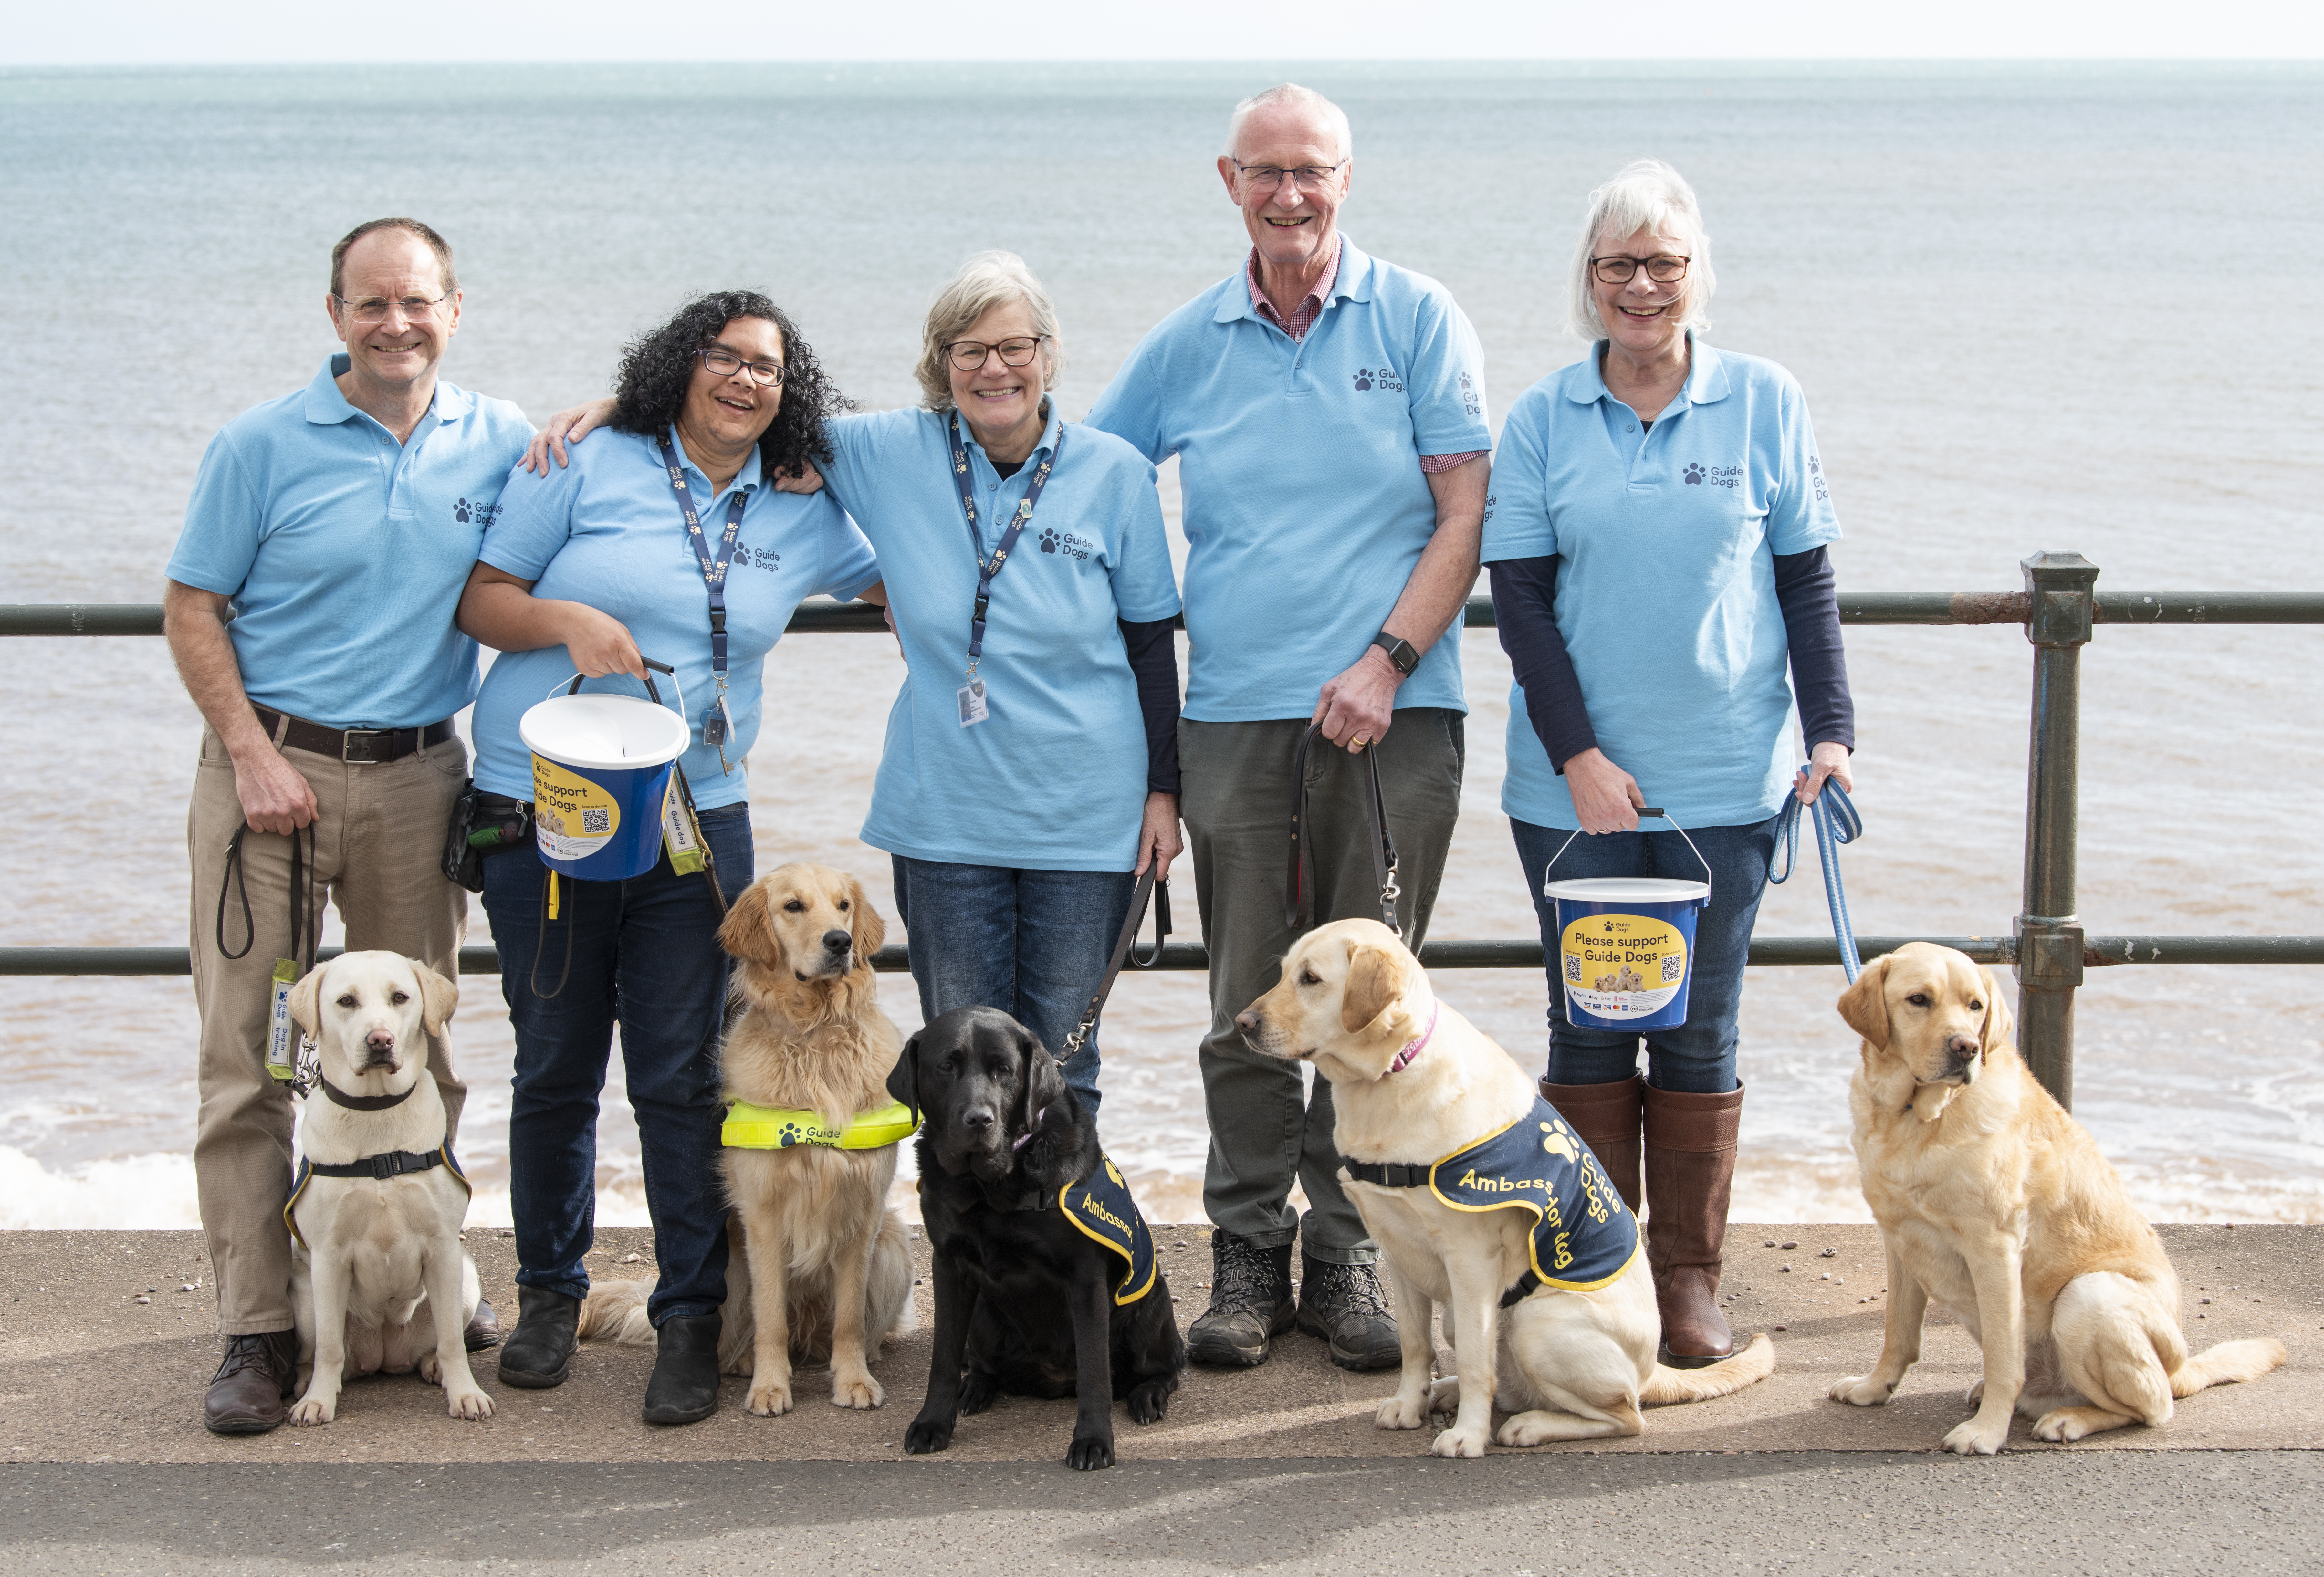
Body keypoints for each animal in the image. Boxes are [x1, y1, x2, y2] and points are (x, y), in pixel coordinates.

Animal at [287, 952, 495, 1431]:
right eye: (346, 1001)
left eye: (400, 997)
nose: (380, 1040)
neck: (375, 1113)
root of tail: (383, 1353)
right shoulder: (327, 1257)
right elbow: (329, 1346)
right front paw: (318, 1400)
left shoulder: (442, 1247)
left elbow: (453, 1343)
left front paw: (465, 1393)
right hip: (305, 1298)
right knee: (325, 1351)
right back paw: (306, 1381)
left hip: (465, 1281)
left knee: (438, 1342)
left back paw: (435, 1367)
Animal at [576, 869, 911, 1412]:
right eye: (793, 906)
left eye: (843, 906)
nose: (839, 942)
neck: (813, 1032)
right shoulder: (763, 1216)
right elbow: (770, 1315)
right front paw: (771, 1386)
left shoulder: (862, 1211)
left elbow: (849, 1317)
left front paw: (853, 1379)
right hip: (730, 1264)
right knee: (746, 1332)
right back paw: (744, 1361)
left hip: (894, 1247)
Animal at [883, 1003, 1180, 1477]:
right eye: (947, 1066)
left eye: (1004, 1070)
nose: (979, 1120)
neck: (990, 1185)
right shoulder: (948, 1265)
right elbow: (943, 1358)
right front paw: (932, 1423)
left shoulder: (1085, 1279)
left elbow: (1095, 1373)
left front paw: (1093, 1440)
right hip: (984, 1317)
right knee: (984, 1365)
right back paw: (976, 1386)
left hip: (1149, 1306)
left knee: (1165, 1368)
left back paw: (1147, 1394)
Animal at [1245, 920, 1766, 1458]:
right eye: (1284, 972)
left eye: (1311, 979)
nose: (1243, 1022)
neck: (1390, 1074)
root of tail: (1651, 1370)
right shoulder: (1399, 1252)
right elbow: (1415, 1345)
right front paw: (1410, 1404)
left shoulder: (1470, 1260)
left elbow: (1479, 1365)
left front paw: (1468, 1436)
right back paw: (1445, 1391)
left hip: (1535, 1326)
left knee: (1624, 1414)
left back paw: (1530, 1425)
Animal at [1822, 938, 2277, 1458]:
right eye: (1919, 999)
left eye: (1975, 1006)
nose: (1967, 1047)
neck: (1915, 1116)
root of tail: (2181, 1369)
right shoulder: (1898, 1237)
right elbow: (1898, 1331)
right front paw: (1874, 1387)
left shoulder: (1995, 1247)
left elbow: (2004, 1358)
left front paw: (1986, 1431)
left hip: (2088, 1296)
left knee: (2151, 1407)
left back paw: (2069, 1418)